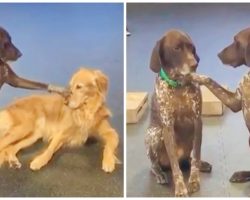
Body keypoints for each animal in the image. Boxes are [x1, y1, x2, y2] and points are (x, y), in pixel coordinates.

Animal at [146, 29, 212, 197]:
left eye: (192, 48)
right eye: (176, 48)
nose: (195, 64)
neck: (178, 86)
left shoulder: (197, 121)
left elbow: (196, 156)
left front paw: (194, 180)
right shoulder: (167, 126)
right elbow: (175, 167)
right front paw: (180, 187)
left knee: (190, 158)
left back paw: (201, 164)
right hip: (155, 133)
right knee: (155, 165)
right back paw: (160, 173)